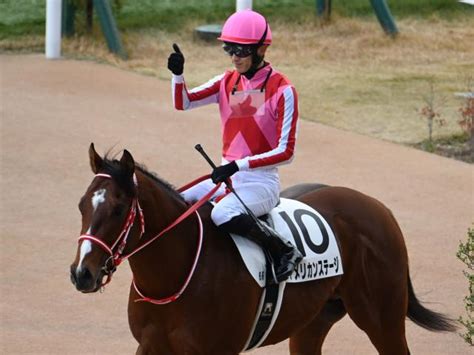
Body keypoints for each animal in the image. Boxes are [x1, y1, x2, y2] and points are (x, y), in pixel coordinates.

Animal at [70, 145, 456, 355]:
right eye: (81, 205)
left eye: (118, 209)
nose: (81, 273)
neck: (178, 273)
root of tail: (379, 207)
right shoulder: (151, 345)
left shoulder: (218, 350)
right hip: (312, 323)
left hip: (383, 318)